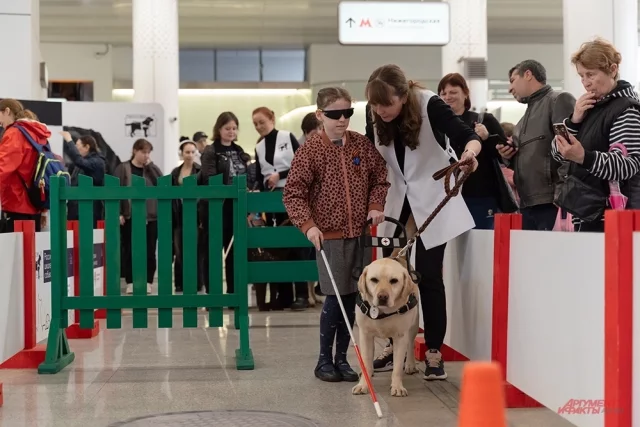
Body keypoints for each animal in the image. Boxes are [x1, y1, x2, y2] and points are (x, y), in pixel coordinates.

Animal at [350, 254, 420, 398]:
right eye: (374, 280)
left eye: (394, 281)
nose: (382, 296)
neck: (383, 312)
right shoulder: (365, 335)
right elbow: (366, 362)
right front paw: (363, 384)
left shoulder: (400, 337)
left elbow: (397, 367)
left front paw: (397, 387)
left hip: (414, 325)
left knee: (411, 344)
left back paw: (410, 364)